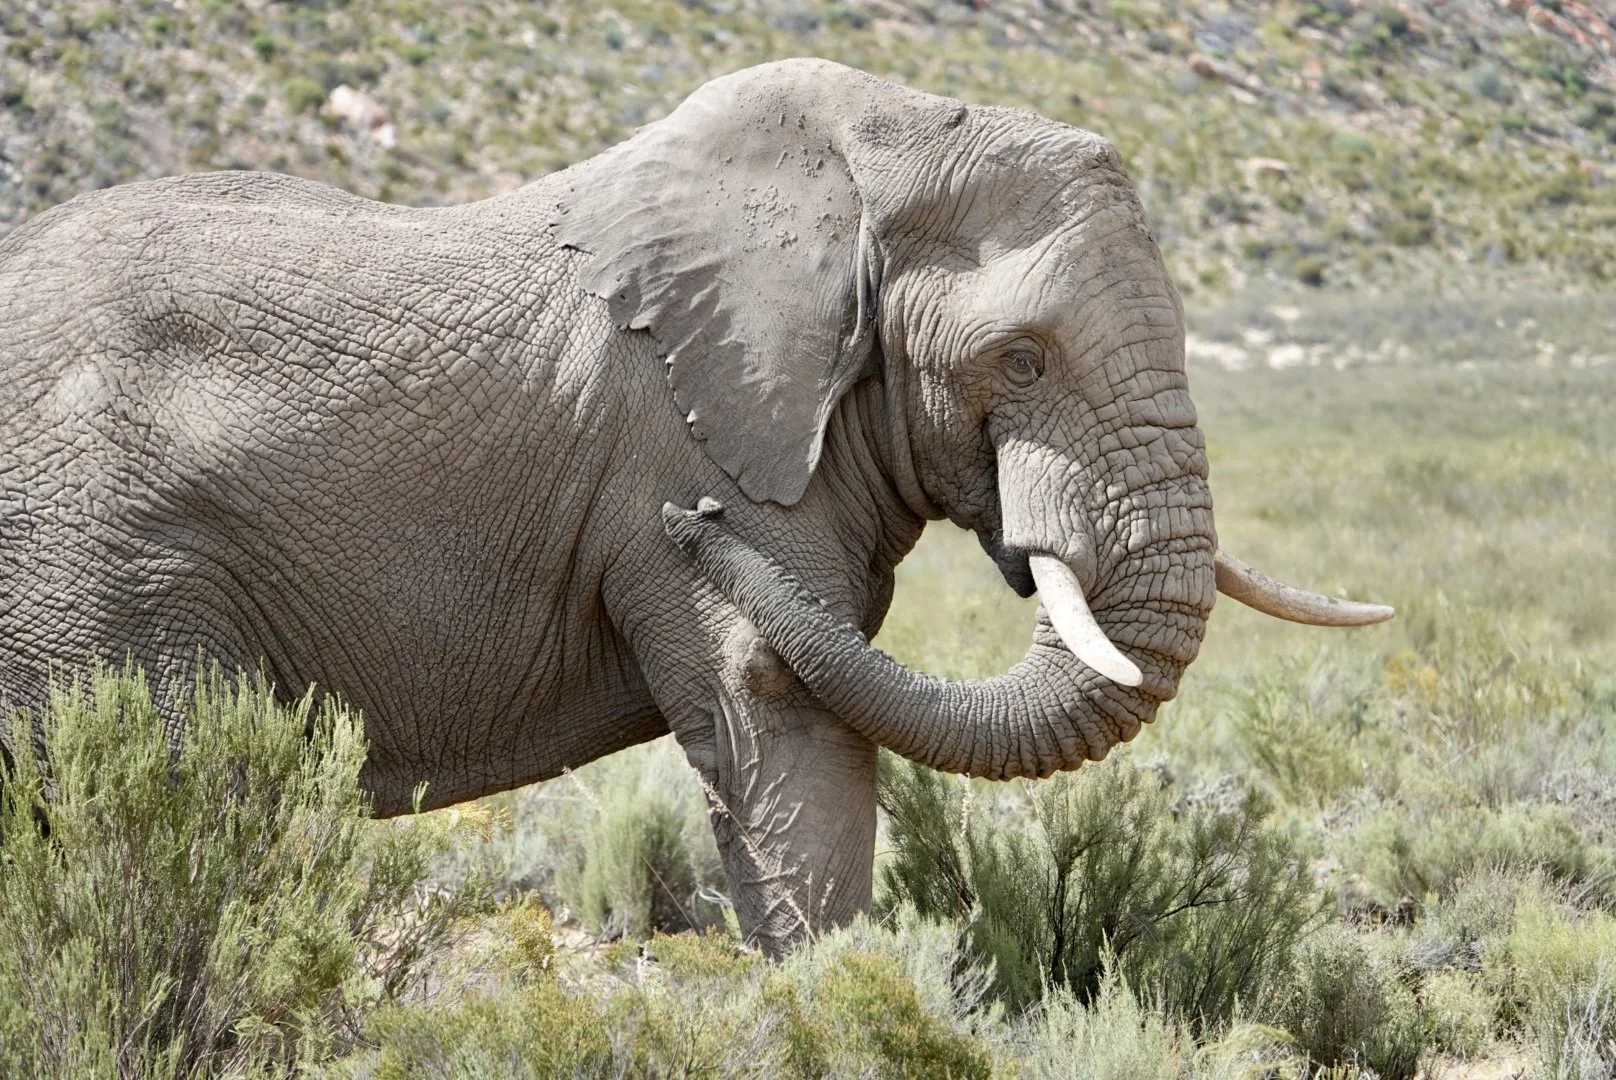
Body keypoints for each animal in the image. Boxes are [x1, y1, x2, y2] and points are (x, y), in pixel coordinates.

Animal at [0, 59, 1390, 954]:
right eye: (1021, 362)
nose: (691, 528)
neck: (872, 154)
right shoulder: (696, 430)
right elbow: (776, 706)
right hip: (98, 565)